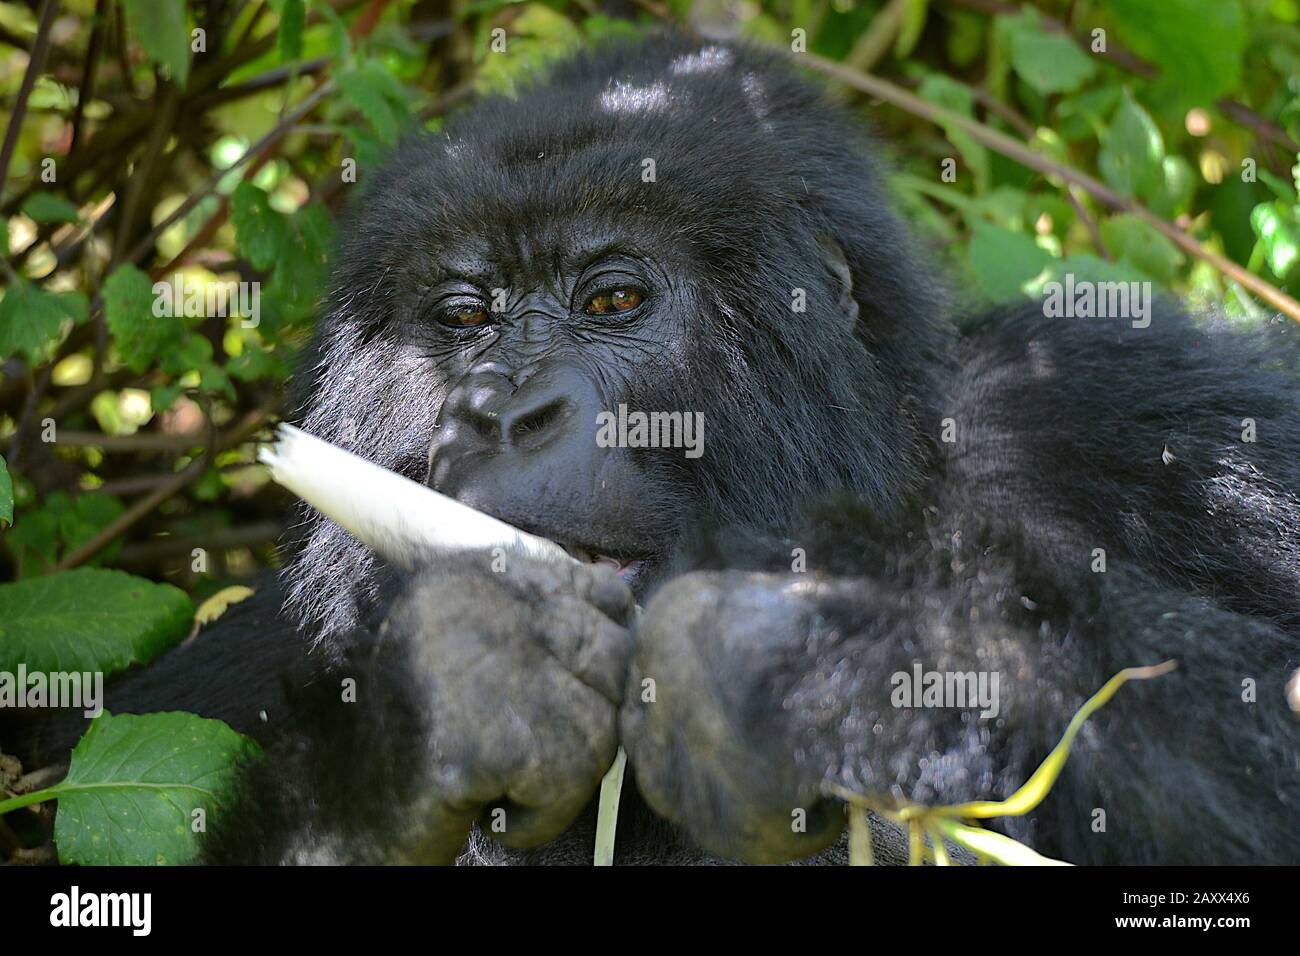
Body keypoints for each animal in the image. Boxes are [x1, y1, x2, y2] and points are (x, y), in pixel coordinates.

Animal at [12, 33, 1300, 863]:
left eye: (615, 299)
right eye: (464, 315)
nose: (499, 412)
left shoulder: (1141, 417)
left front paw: (842, 651)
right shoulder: (216, 681)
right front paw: (434, 709)